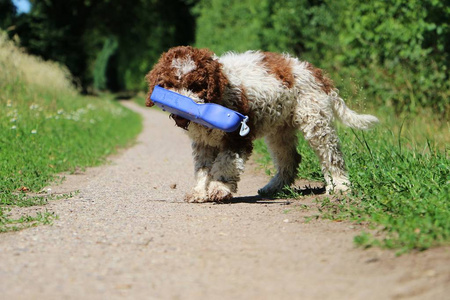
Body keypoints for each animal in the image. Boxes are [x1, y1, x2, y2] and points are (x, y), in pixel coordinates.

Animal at [146, 45, 378, 203]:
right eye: (169, 85)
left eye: (196, 86)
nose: (181, 109)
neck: (219, 96)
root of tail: (315, 71)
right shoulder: (204, 142)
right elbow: (203, 168)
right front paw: (199, 192)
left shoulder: (237, 137)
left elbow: (225, 163)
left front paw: (219, 189)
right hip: (280, 130)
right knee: (290, 159)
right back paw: (273, 188)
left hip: (315, 121)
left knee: (331, 155)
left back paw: (340, 186)